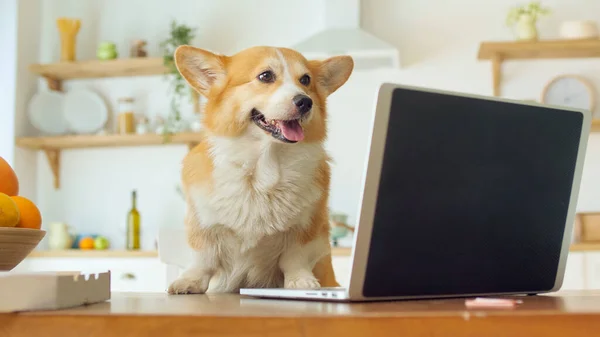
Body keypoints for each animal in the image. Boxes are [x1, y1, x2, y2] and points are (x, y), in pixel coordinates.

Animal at [165, 45, 352, 294]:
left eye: (305, 80)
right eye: (265, 76)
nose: (305, 102)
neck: (262, 168)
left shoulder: (307, 227)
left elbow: (295, 259)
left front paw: (300, 281)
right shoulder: (204, 224)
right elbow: (203, 258)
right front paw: (189, 281)